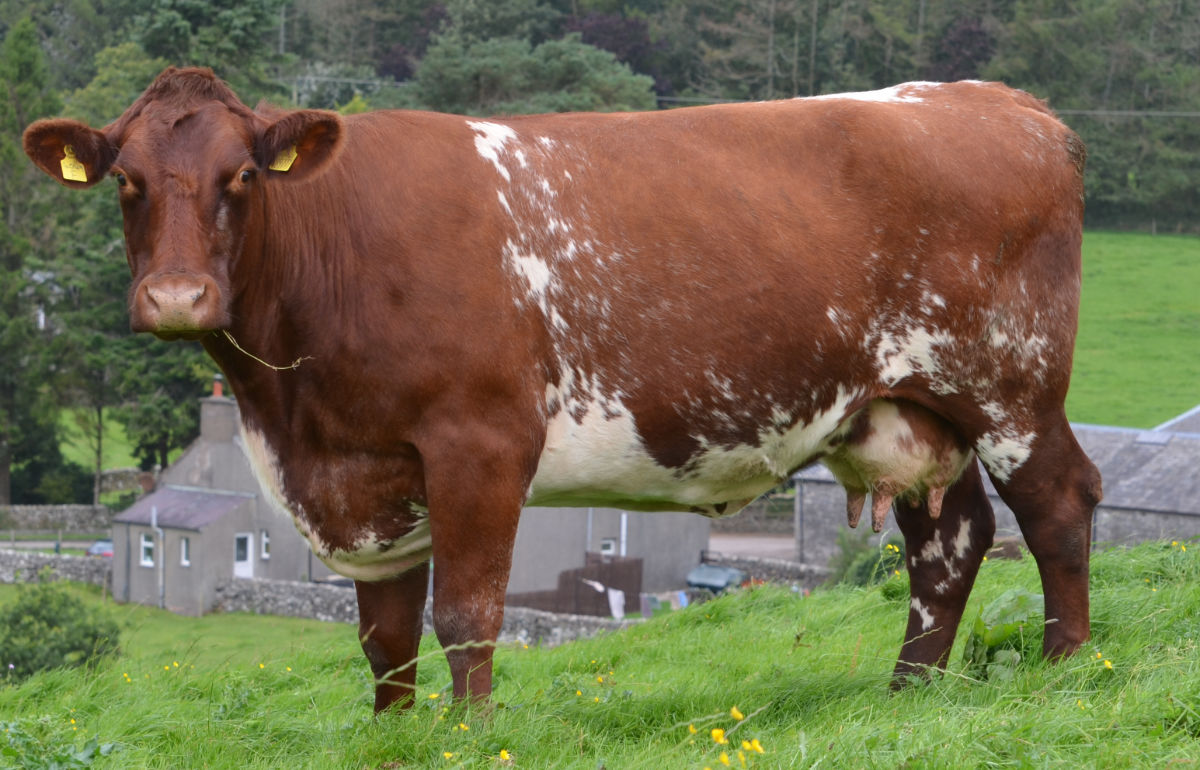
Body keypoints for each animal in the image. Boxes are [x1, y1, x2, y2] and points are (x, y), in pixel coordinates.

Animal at [24, 68, 1102, 712]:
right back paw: (908, 691)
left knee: (1057, 502)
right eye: (125, 179)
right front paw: (395, 733)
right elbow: (382, 635)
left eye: (242, 175)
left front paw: (467, 733)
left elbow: (465, 614)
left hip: (1008, 383)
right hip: (902, 408)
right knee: (949, 540)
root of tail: (996, 100)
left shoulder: (478, 443)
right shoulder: (363, 475)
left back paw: (1064, 669)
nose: (177, 296)